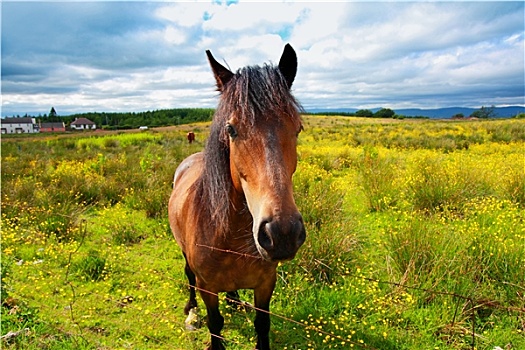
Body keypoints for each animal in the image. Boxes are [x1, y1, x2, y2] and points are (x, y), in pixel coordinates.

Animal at [168, 44, 304, 350]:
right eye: (231, 129)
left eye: (298, 128)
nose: (282, 233)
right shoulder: (207, 287)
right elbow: (215, 324)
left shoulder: (266, 283)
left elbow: (262, 324)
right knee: (188, 276)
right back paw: (191, 312)